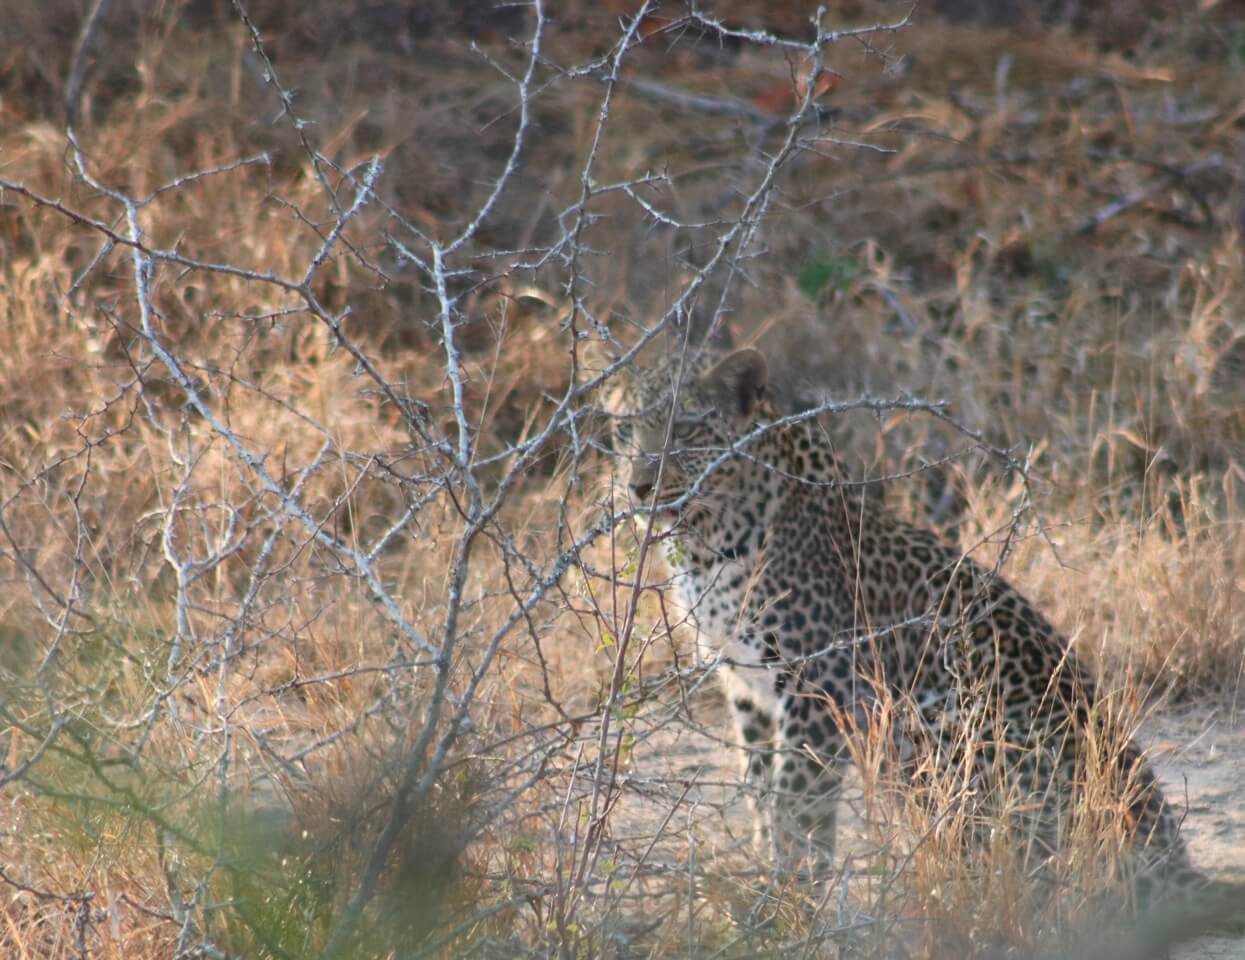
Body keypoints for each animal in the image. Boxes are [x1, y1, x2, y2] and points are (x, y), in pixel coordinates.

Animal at [605, 343, 1245, 931]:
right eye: (623, 430)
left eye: (686, 430)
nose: (638, 486)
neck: (708, 540)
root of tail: (1171, 857)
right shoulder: (747, 688)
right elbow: (762, 798)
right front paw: (765, 885)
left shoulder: (817, 688)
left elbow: (796, 809)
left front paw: (785, 907)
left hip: (952, 724)